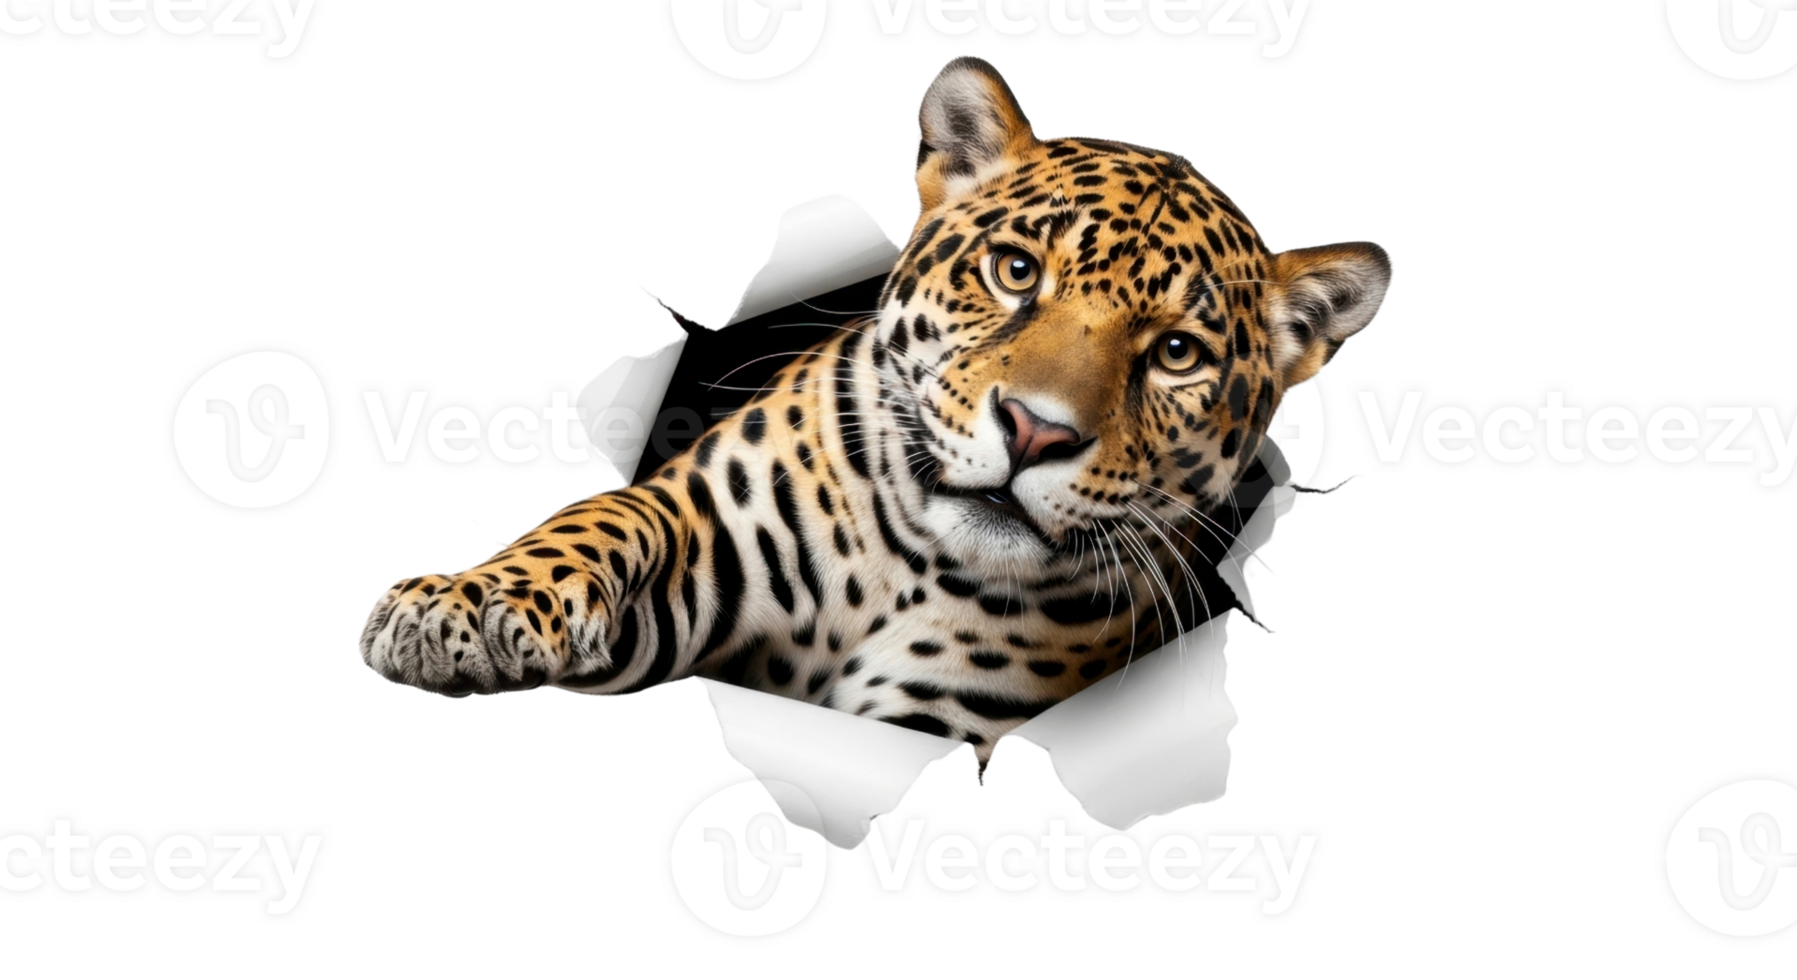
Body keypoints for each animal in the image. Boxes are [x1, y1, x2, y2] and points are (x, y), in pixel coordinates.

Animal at [356, 54, 1395, 781]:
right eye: (1014, 270)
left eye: (1177, 354)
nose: (1035, 432)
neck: (909, 566)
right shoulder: (707, 539)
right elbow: (602, 516)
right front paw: (458, 607)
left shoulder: (940, 720)